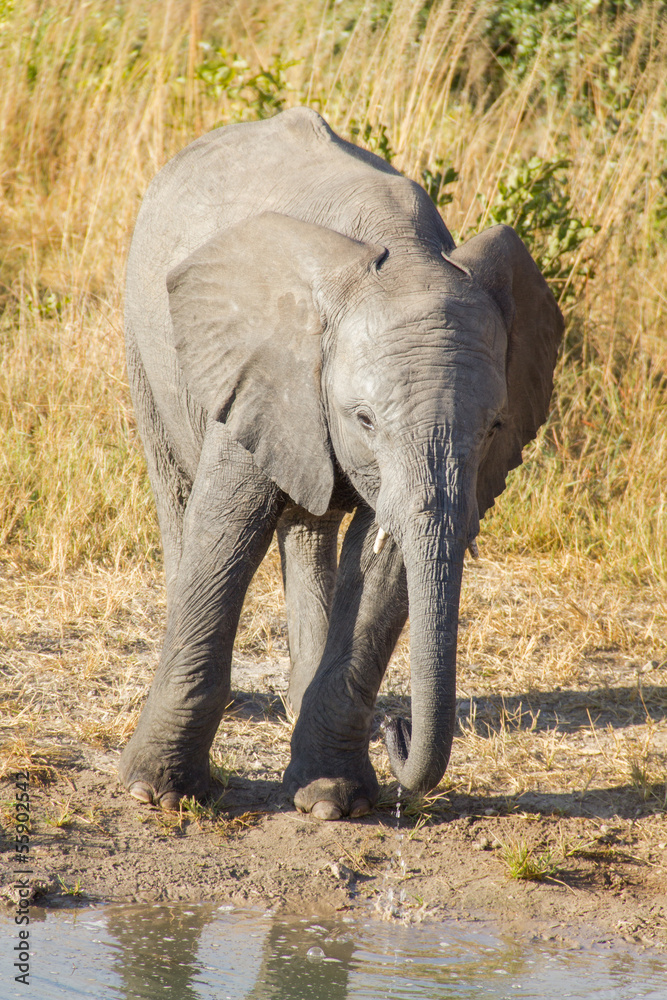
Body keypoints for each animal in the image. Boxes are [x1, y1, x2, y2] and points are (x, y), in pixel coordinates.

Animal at [119, 107, 563, 820]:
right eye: (364, 419)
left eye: (494, 427)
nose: (397, 727)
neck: (399, 251)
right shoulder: (265, 370)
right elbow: (223, 531)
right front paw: (155, 796)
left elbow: (386, 562)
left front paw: (332, 802)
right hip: (143, 338)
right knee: (177, 492)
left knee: (311, 527)